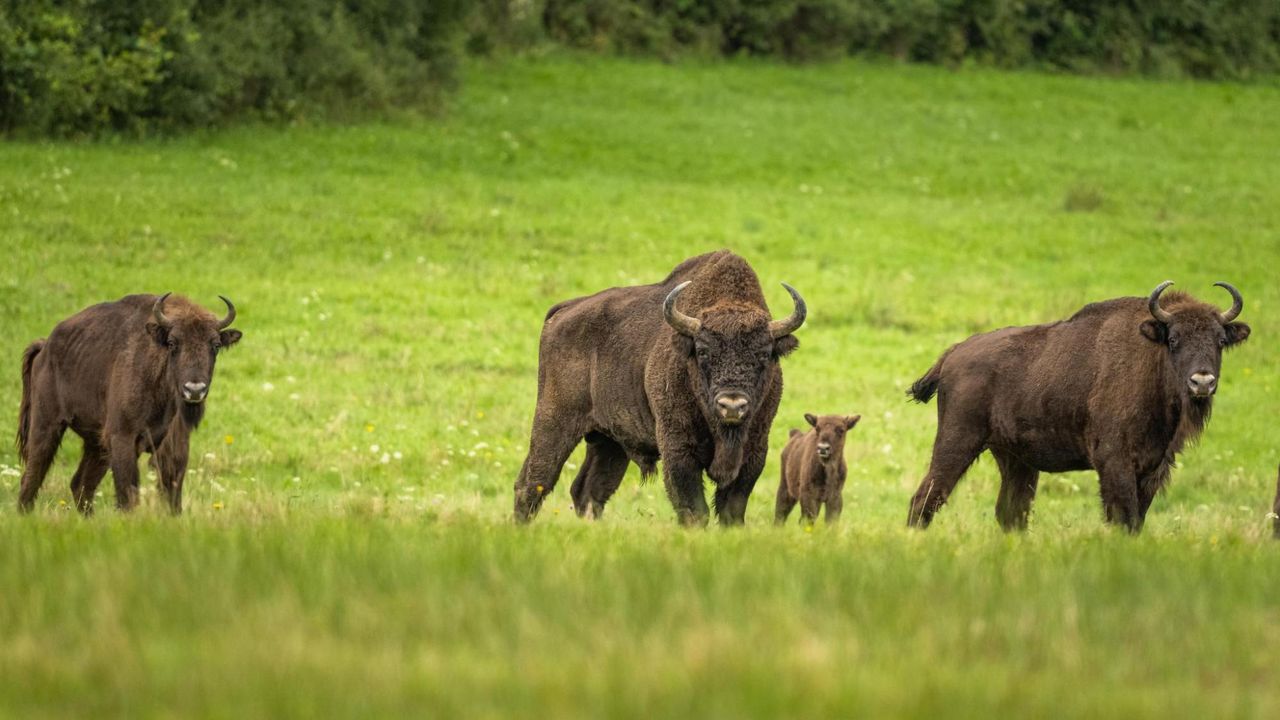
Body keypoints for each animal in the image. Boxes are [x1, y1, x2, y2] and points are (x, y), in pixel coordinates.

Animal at [16, 294, 241, 512]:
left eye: (216, 345)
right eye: (172, 342)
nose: (194, 390)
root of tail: (45, 348)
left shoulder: (174, 444)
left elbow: (172, 495)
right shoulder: (122, 438)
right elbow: (128, 494)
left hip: (95, 444)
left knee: (80, 484)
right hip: (47, 426)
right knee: (32, 478)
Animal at [509, 249, 798, 525]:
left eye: (764, 354)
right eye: (703, 352)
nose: (732, 406)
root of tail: (563, 310)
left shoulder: (754, 452)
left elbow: (732, 512)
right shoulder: (678, 449)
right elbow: (694, 509)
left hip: (608, 441)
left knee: (588, 490)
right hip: (553, 422)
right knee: (533, 483)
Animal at [911, 280, 1249, 532]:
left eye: (1220, 340)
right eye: (1174, 339)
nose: (1202, 382)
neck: (1151, 357)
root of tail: (955, 352)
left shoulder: (1153, 468)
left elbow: (1137, 520)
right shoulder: (1115, 462)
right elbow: (1123, 517)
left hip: (1015, 460)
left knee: (1010, 513)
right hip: (957, 443)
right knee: (925, 498)